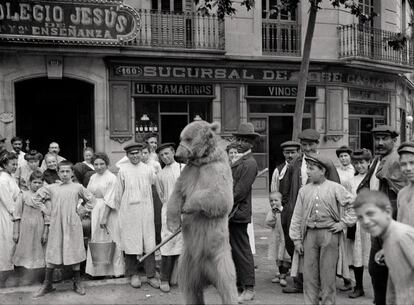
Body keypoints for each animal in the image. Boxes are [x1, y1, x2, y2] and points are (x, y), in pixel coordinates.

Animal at [167, 120, 238, 302]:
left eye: (188, 138)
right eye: (180, 137)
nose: (177, 156)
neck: (203, 160)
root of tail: (206, 275)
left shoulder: (216, 171)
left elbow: (221, 198)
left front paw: (187, 207)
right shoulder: (189, 172)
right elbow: (177, 193)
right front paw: (173, 224)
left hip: (220, 258)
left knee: (227, 286)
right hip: (187, 263)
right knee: (190, 289)